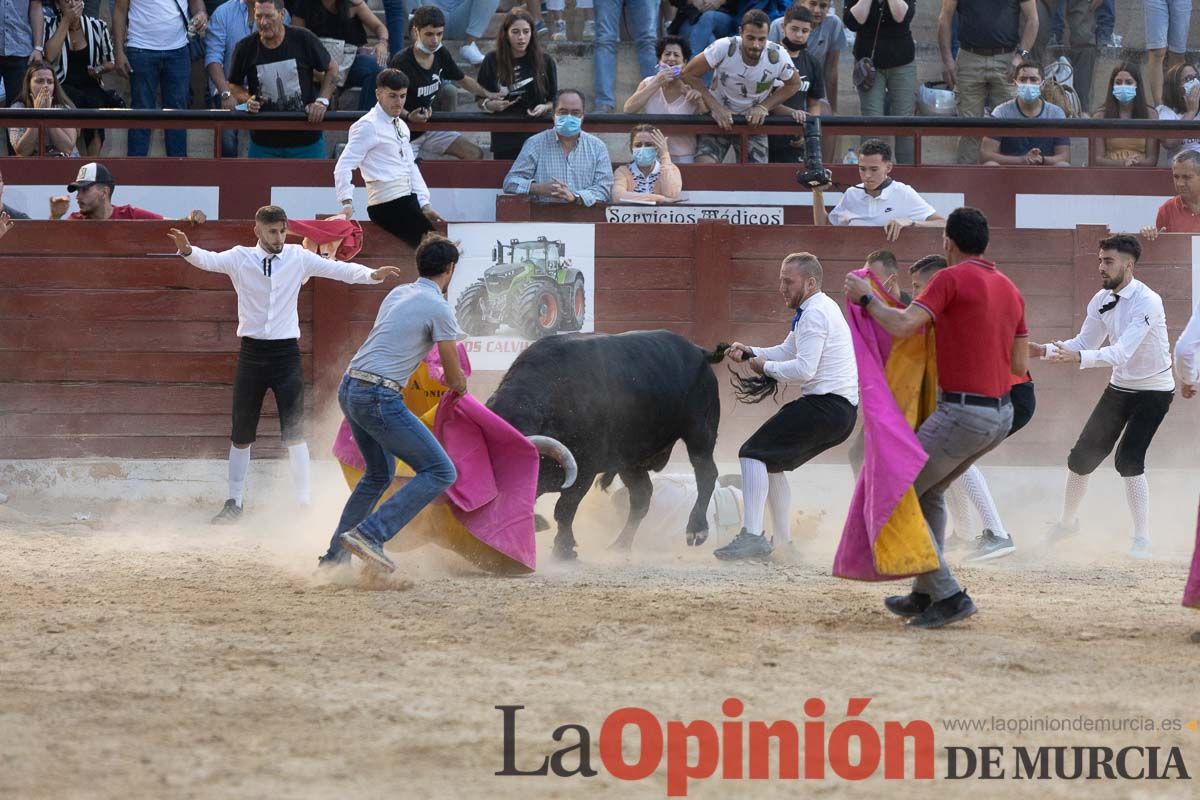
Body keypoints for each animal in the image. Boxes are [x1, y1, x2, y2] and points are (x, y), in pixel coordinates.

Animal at [482, 328, 724, 561]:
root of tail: (698, 351)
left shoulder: (584, 471)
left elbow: (564, 509)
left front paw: (563, 549)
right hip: (631, 460)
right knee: (641, 496)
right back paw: (620, 545)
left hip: (700, 433)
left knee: (706, 474)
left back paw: (696, 530)